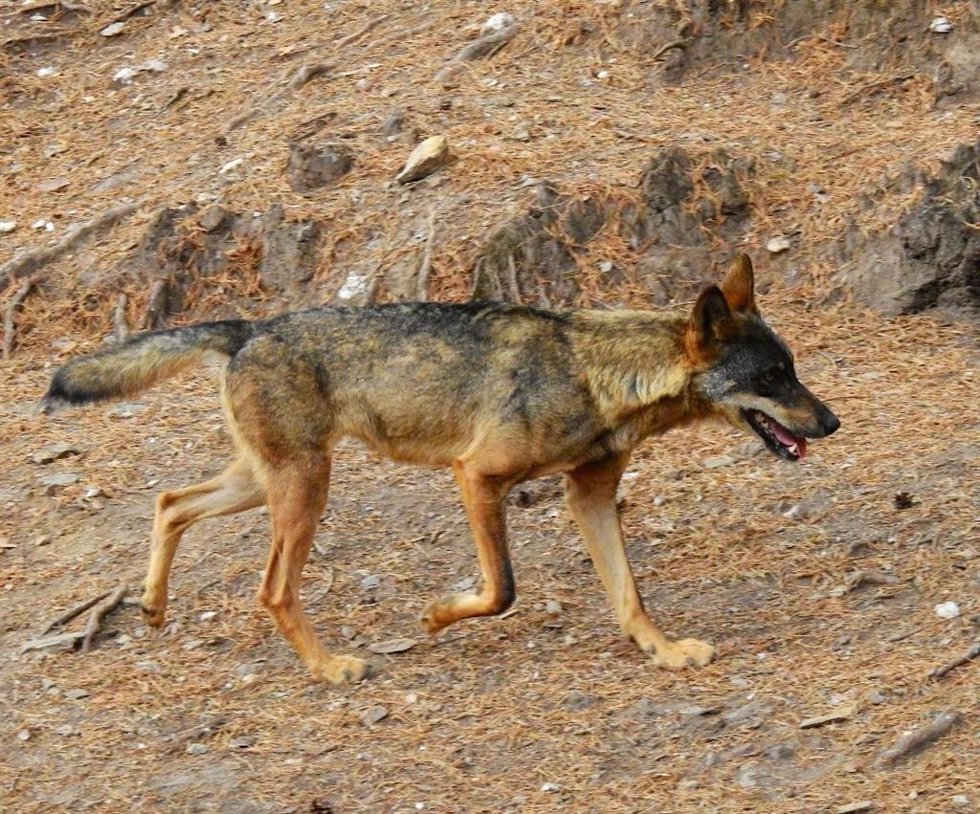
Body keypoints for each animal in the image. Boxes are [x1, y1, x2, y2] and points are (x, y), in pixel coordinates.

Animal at [43, 255, 839, 684]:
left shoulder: (590, 496)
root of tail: (251, 327)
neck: (595, 373)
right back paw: (330, 668)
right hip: (304, 492)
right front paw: (434, 616)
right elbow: (502, 590)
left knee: (169, 500)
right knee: (270, 589)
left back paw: (152, 605)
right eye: (773, 378)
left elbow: (629, 596)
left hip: (264, 484)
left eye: (793, 370)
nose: (831, 422)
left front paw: (665, 651)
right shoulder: (476, 477)